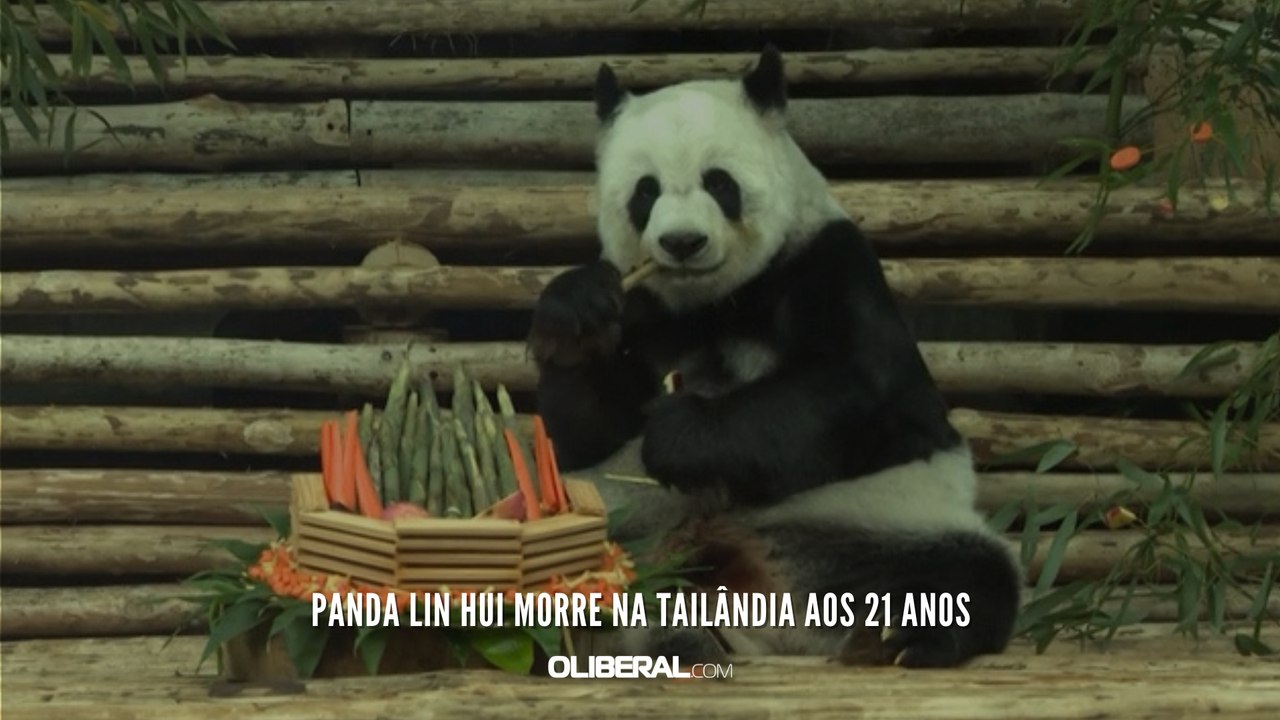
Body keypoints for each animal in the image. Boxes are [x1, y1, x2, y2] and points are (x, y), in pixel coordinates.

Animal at [526, 46, 1023, 668]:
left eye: (719, 182)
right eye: (645, 191)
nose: (682, 243)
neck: (713, 301)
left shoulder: (826, 262)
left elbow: (857, 390)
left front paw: (680, 434)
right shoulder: (645, 307)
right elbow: (576, 435)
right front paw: (577, 313)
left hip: (879, 515)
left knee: (968, 572)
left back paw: (900, 639)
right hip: (620, 530)